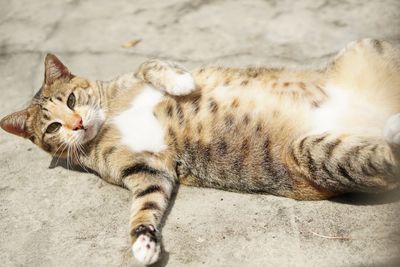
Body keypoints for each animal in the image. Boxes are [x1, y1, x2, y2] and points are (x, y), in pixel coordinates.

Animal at [0, 38, 400, 266]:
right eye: (52, 127)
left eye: (71, 99)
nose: (78, 123)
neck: (110, 117)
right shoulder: (148, 172)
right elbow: (145, 206)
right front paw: (144, 242)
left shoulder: (134, 76)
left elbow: (149, 64)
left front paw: (181, 81)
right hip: (315, 151)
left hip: (364, 49)